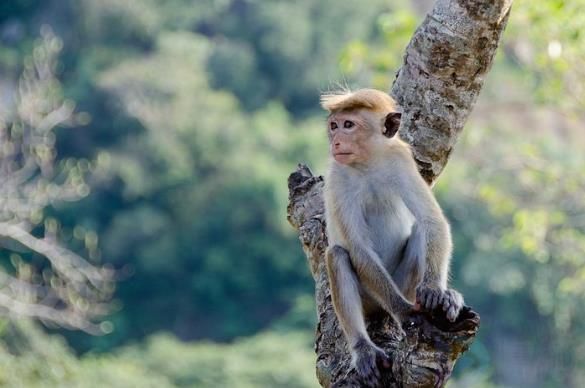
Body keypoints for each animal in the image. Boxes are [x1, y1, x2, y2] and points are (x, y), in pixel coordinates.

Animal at [322, 89, 464, 386]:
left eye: (348, 125)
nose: (337, 140)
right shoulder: (338, 176)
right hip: (371, 297)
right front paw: (405, 312)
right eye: (334, 125)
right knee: (338, 255)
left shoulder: (400, 160)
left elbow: (431, 220)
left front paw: (436, 291)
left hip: (403, 282)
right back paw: (364, 349)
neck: (367, 163)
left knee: (420, 230)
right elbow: (358, 248)